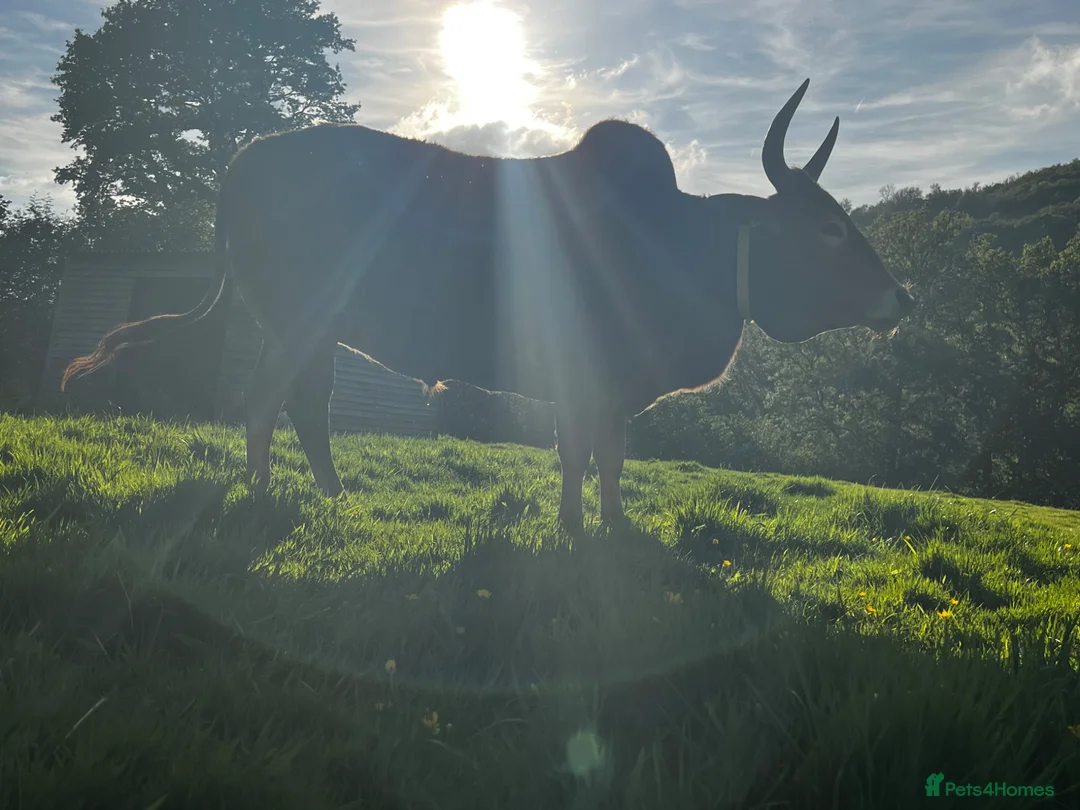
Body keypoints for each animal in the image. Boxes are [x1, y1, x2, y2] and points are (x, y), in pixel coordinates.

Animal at [62, 78, 915, 533]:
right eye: (829, 227)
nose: (902, 295)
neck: (678, 245)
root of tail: (244, 159)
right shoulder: (581, 378)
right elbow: (576, 453)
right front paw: (572, 528)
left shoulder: (614, 392)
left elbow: (610, 458)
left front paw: (611, 525)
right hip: (299, 321)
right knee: (267, 399)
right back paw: (270, 494)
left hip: (313, 329)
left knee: (302, 403)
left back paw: (331, 494)